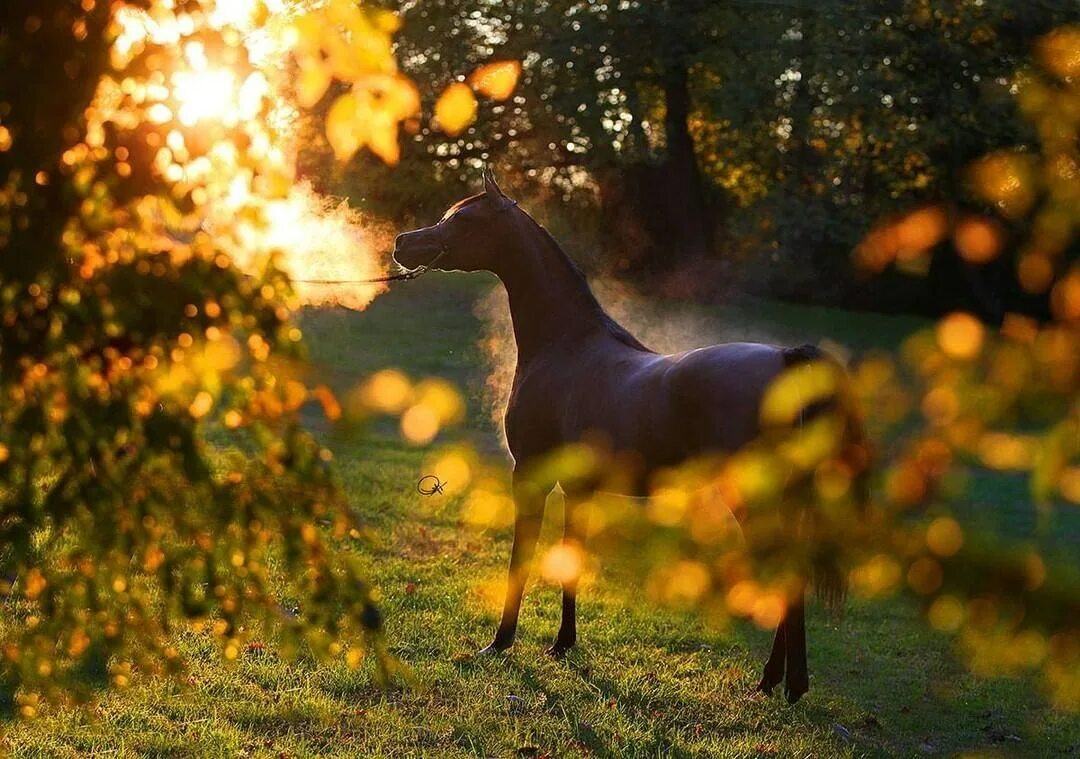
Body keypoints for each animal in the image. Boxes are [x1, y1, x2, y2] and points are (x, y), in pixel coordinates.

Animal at [395, 169, 868, 703]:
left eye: (464, 219)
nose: (402, 243)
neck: (566, 345)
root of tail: (786, 360)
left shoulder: (531, 476)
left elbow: (523, 557)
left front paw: (500, 642)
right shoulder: (578, 488)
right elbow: (571, 559)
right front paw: (562, 644)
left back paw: (773, 682)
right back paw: (786, 683)